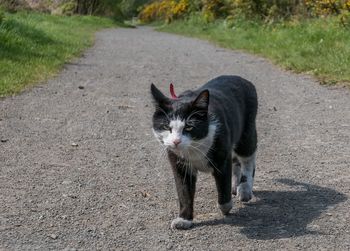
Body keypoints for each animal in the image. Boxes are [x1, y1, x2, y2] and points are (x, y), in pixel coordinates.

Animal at [150, 74, 258, 229]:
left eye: (189, 127)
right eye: (166, 127)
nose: (176, 141)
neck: (194, 148)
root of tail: (241, 78)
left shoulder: (222, 154)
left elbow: (223, 183)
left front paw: (225, 207)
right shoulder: (179, 163)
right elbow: (184, 191)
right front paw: (183, 219)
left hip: (246, 132)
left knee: (248, 158)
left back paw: (244, 189)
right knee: (236, 161)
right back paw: (235, 185)